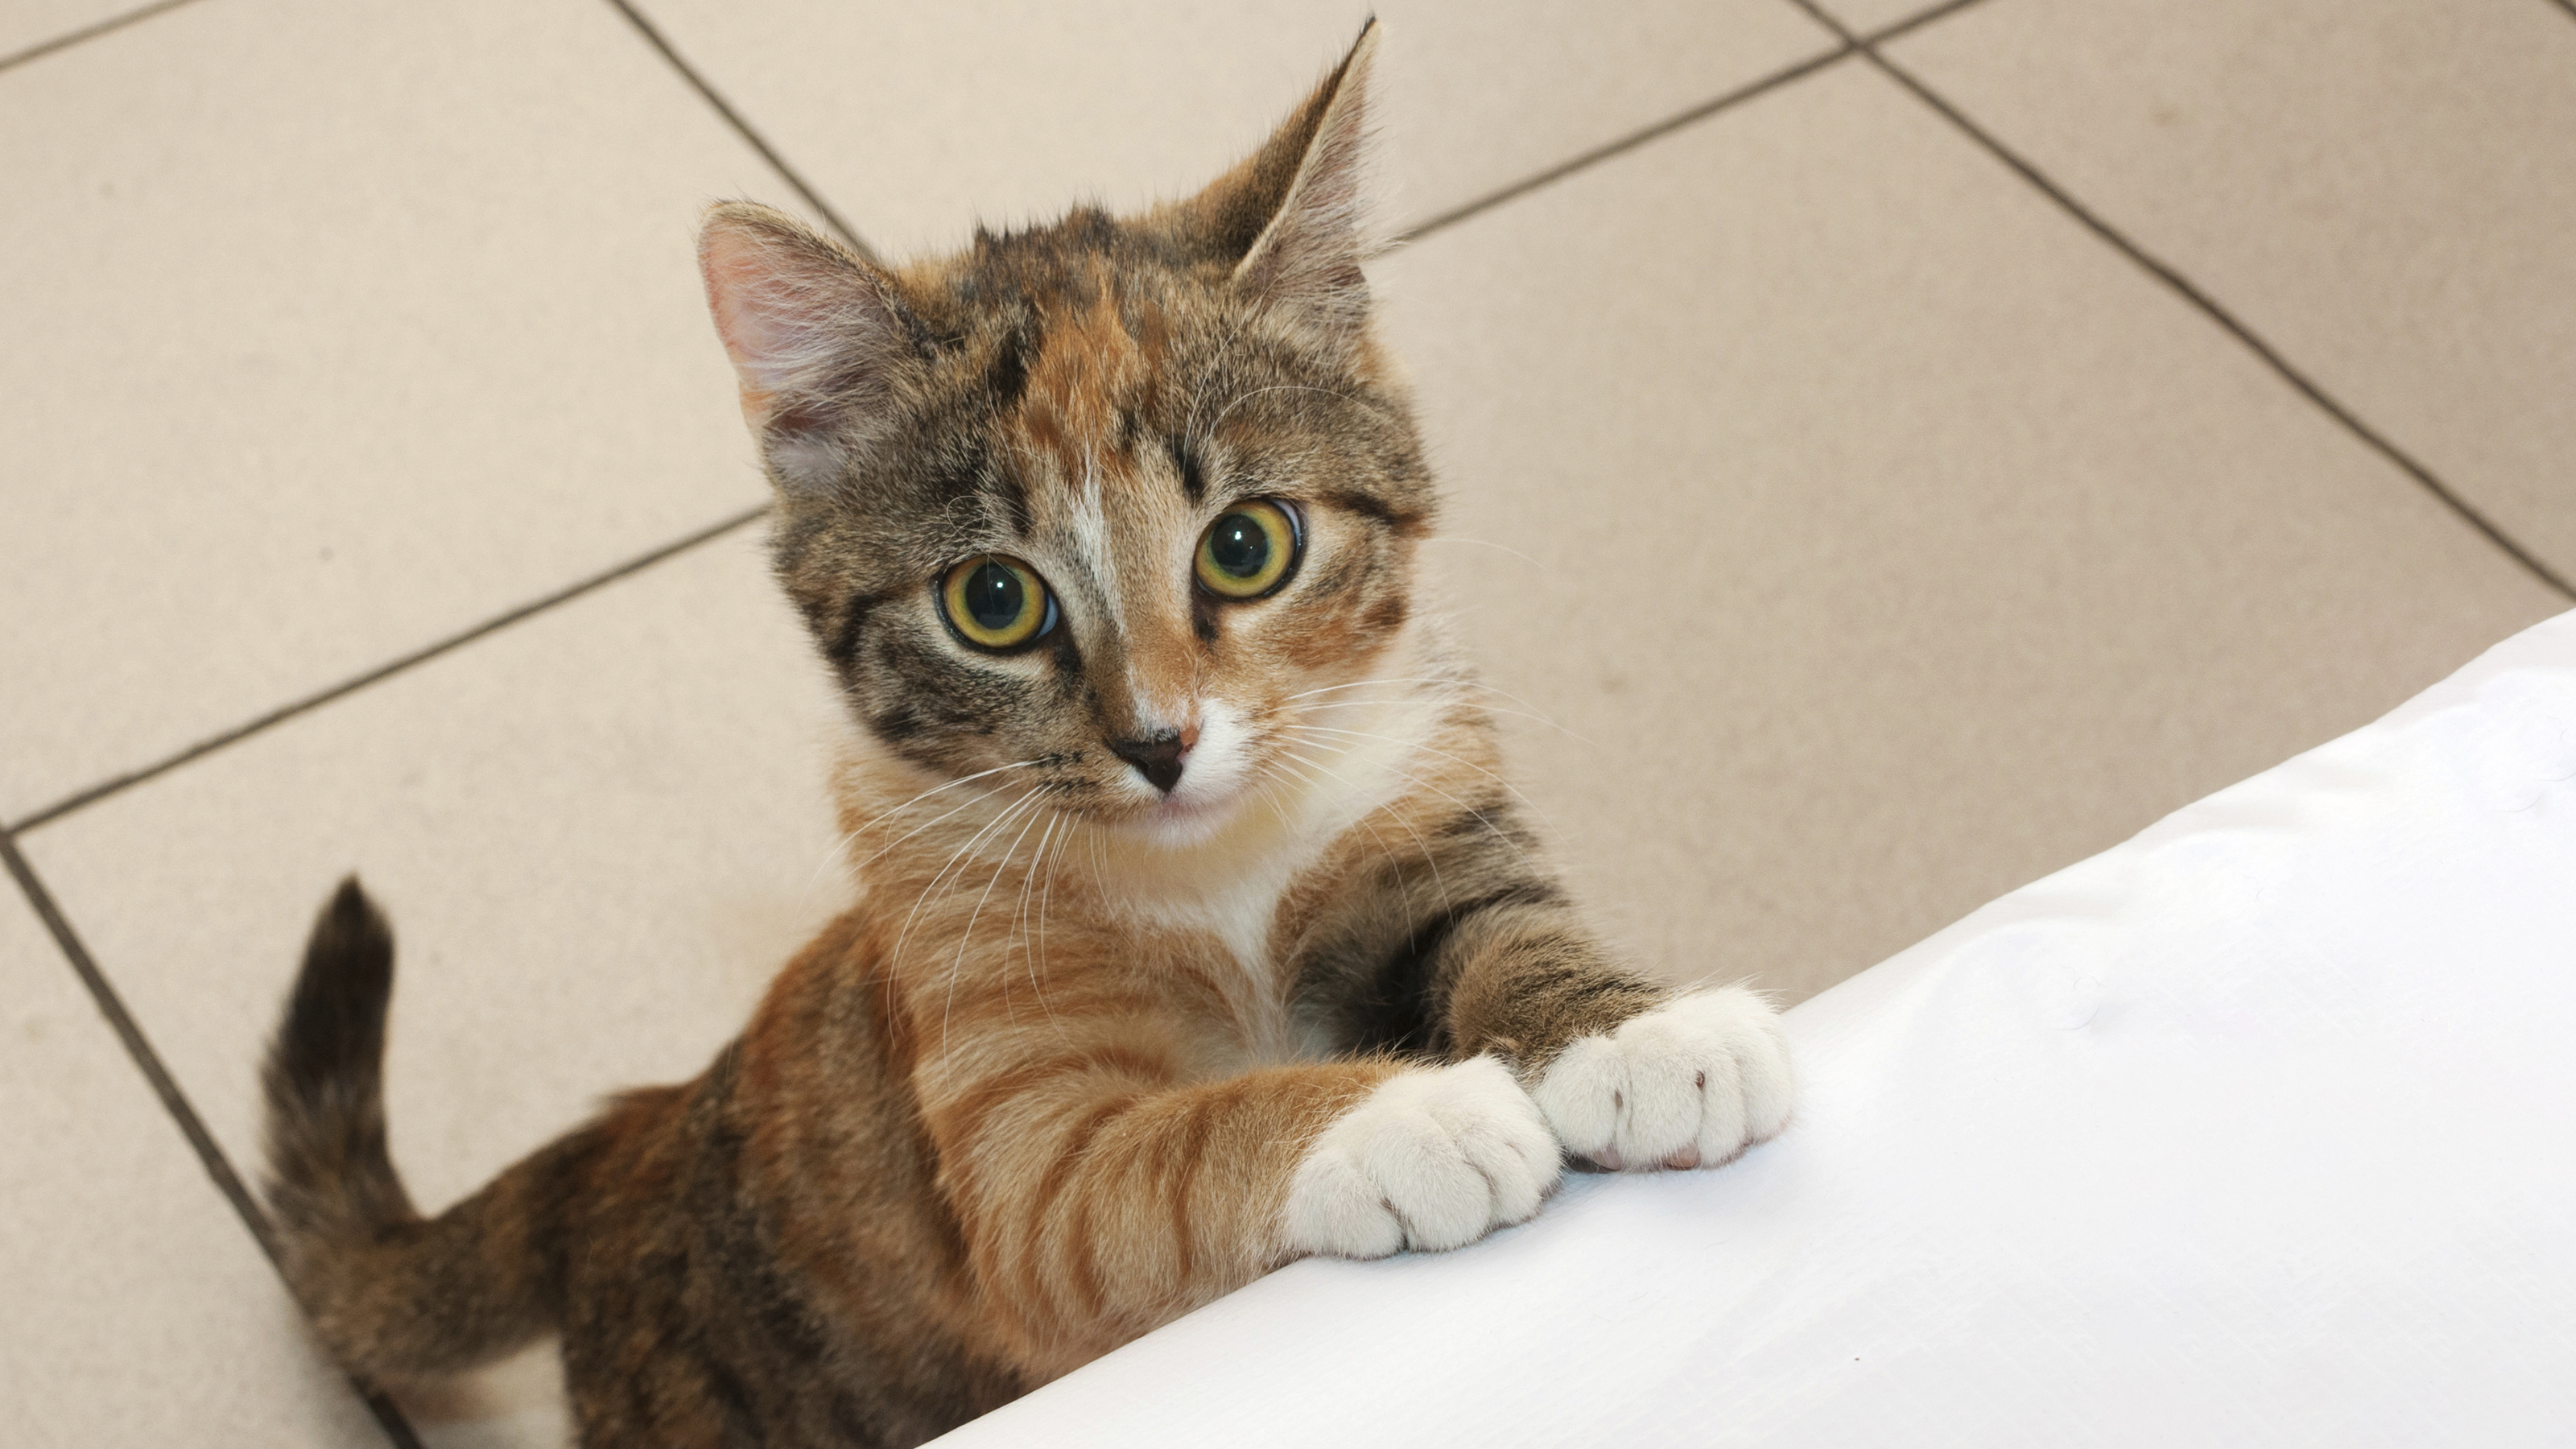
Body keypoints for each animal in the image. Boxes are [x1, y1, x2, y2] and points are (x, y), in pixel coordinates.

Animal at [261, 23, 1793, 1443]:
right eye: (993, 603)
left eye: (1249, 545)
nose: (1162, 742)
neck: (1210, 875)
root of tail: (623, 1140)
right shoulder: (1011, 1135)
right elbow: (1150, 1159)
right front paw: (1401, 1117)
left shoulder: (1418, 810)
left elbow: (1500, 924)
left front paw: (1637, 1035)